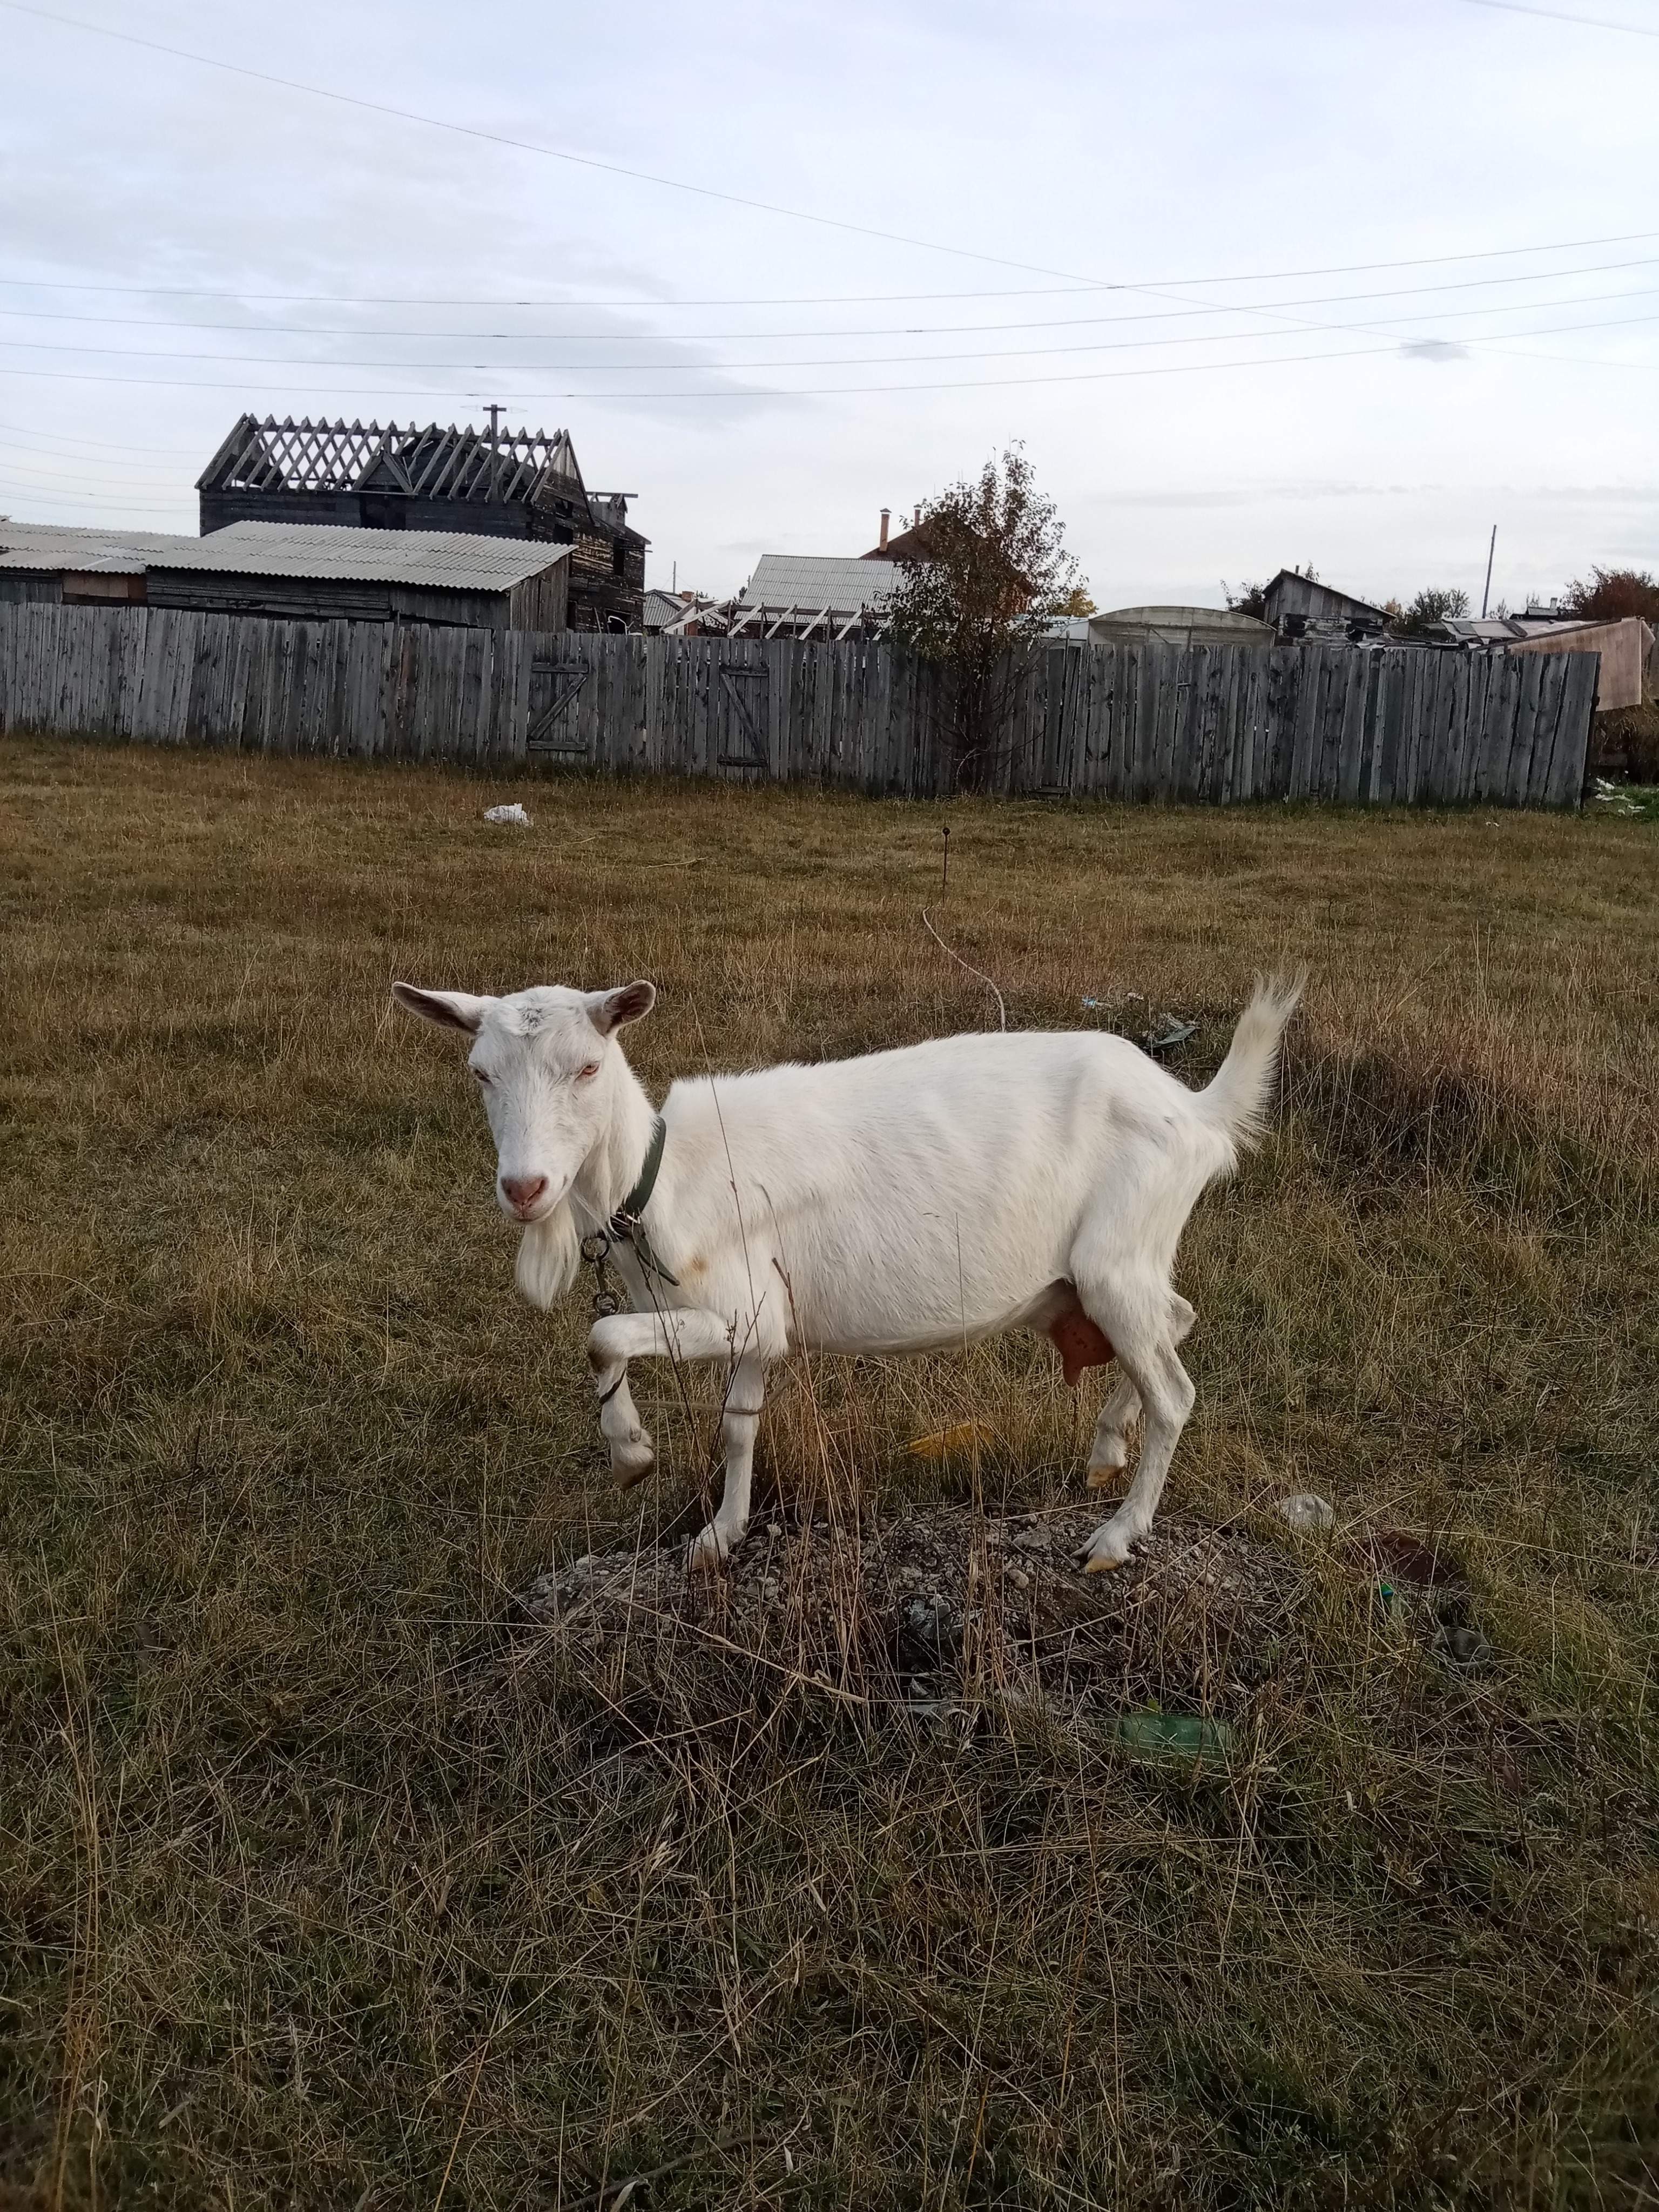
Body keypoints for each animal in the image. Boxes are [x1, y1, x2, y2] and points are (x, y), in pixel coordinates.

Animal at [392, 977, 1301, 1572]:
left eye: (586, 1067)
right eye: (480, 1071)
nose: (525, 1188)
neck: (658, 1179)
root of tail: (1197, 1110)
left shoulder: (740, 1307)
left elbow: (603, 1333)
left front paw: (631, 1455)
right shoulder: (758, 1327)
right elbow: (738, 1426)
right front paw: (718, 1537)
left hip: (1116, 1257)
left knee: (1174, 1387)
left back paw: (1115, 1538)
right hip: (1113, 1269)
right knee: (1174, 1322)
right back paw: (1109, 1444)